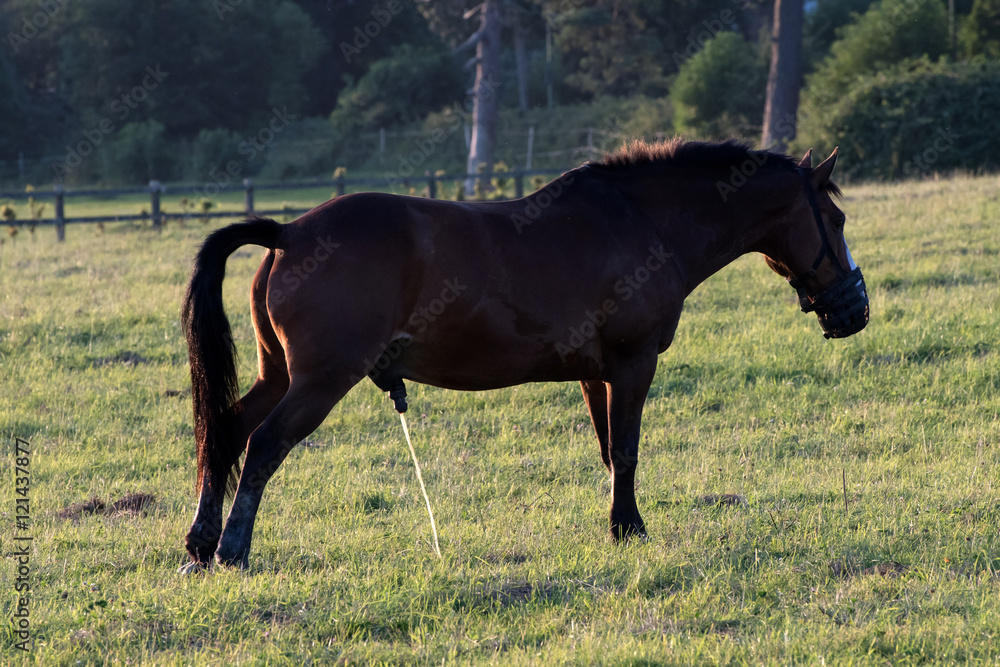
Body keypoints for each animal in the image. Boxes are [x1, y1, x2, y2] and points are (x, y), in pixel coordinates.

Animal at [178, 139, 869, 572]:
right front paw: (630, 530)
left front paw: (620, 525)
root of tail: (289, 232)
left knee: (227, 431)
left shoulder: (596, 376)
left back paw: (201, 543)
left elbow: (608, 451)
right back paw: (233, 550)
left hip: (279, 374)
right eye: (835, 220)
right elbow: (626, 449)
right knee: (264, 444)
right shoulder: (632, 364)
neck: (640, 221)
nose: (855, 310)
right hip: (321, 380)